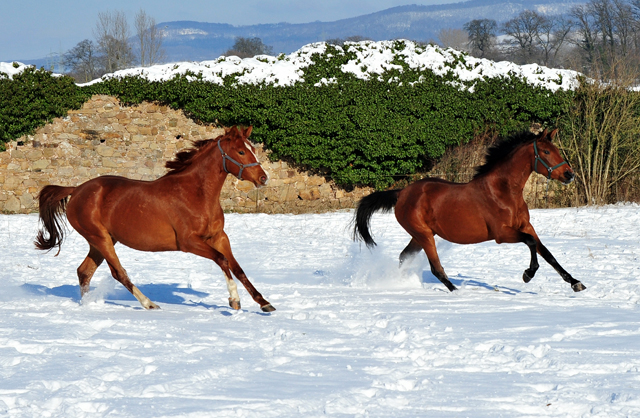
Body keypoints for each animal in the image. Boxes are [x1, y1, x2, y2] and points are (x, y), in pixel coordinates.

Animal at [35, 125, 276, 312]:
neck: (196, 194)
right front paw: (234, 300)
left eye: (253, 149)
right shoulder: (189, 242)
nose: (263, 178)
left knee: (84, 272)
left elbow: (237, 268)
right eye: (241, 152)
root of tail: (76, 190)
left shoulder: (219, 237)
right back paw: (149, 304)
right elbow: (222, 260)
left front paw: (264, 303)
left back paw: (87, 305)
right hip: (100, 239)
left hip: (102, 241)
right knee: (118, 272)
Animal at [352, 129, 588, 292]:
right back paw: (457, 292)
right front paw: (527, 274)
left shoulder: (526, 226)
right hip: (424, 235)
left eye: (557, 150)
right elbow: (530, 244)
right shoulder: (502, 234)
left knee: (404, 257)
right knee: (436, 268)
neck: (504, 192)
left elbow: (547, 253)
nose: (569, 175)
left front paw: (576, 283)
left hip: (419, 236)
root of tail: (401, 193)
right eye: (546, 151)